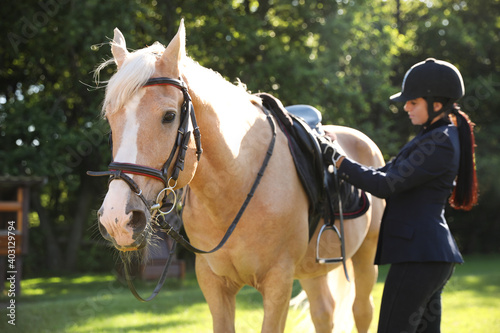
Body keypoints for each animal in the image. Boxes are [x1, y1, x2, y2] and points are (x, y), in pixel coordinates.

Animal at [93, 20, 382, 332]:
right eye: (110, 119)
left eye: (169, 116)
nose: (117, 219)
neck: (235, 186)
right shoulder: (214, 284)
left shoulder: (278, 282)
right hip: (312, 269)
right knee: (324, 312)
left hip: (366, 255)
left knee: (362, 310)